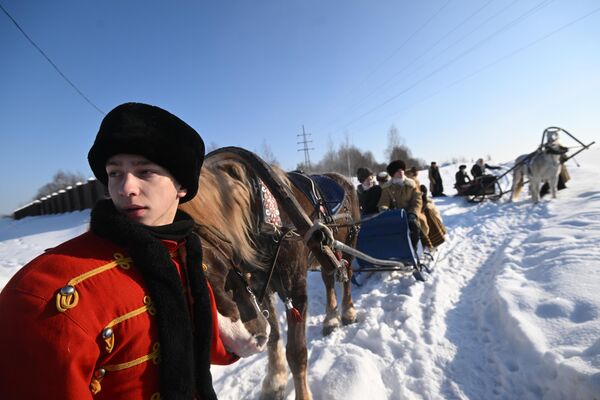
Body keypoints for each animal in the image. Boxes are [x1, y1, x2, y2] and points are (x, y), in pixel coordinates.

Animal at [180, 157, 358, 400]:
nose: (242, 341)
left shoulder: (294, 289)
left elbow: (296, 352)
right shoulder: (259, 288)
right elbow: (274, 337)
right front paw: (275, 382)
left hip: (349, 243)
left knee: (347, 277)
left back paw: (348, 312)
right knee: (329, 278)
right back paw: (331, 318)